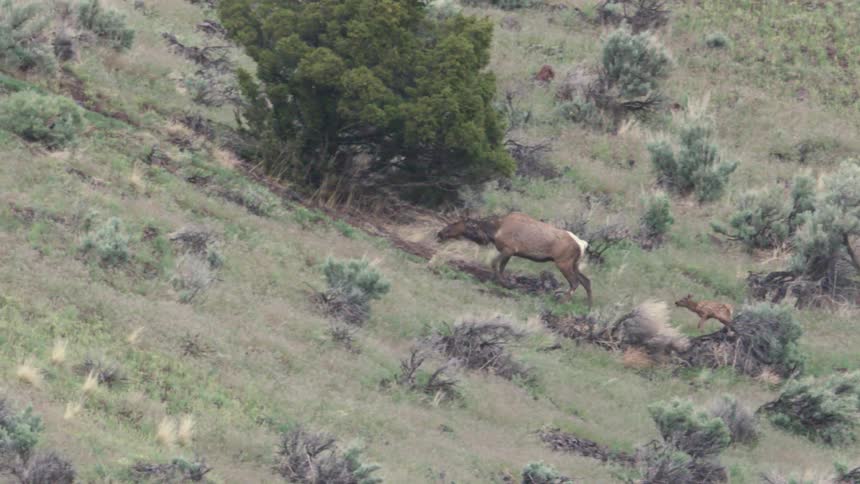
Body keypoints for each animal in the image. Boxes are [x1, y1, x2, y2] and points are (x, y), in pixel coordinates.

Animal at [437, 212, 592, 308]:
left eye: (456, 223)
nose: (440, 233)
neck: (493, 231)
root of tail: (582, 244)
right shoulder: (510, 253)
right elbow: (501, 267)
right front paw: (504, 283)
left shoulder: (509, 249)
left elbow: (494, 264)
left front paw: (506, 284)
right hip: (574, 264)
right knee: (586, 281)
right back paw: (588, 305)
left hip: (563, 263)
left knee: (575, 282)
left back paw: (561, 301)